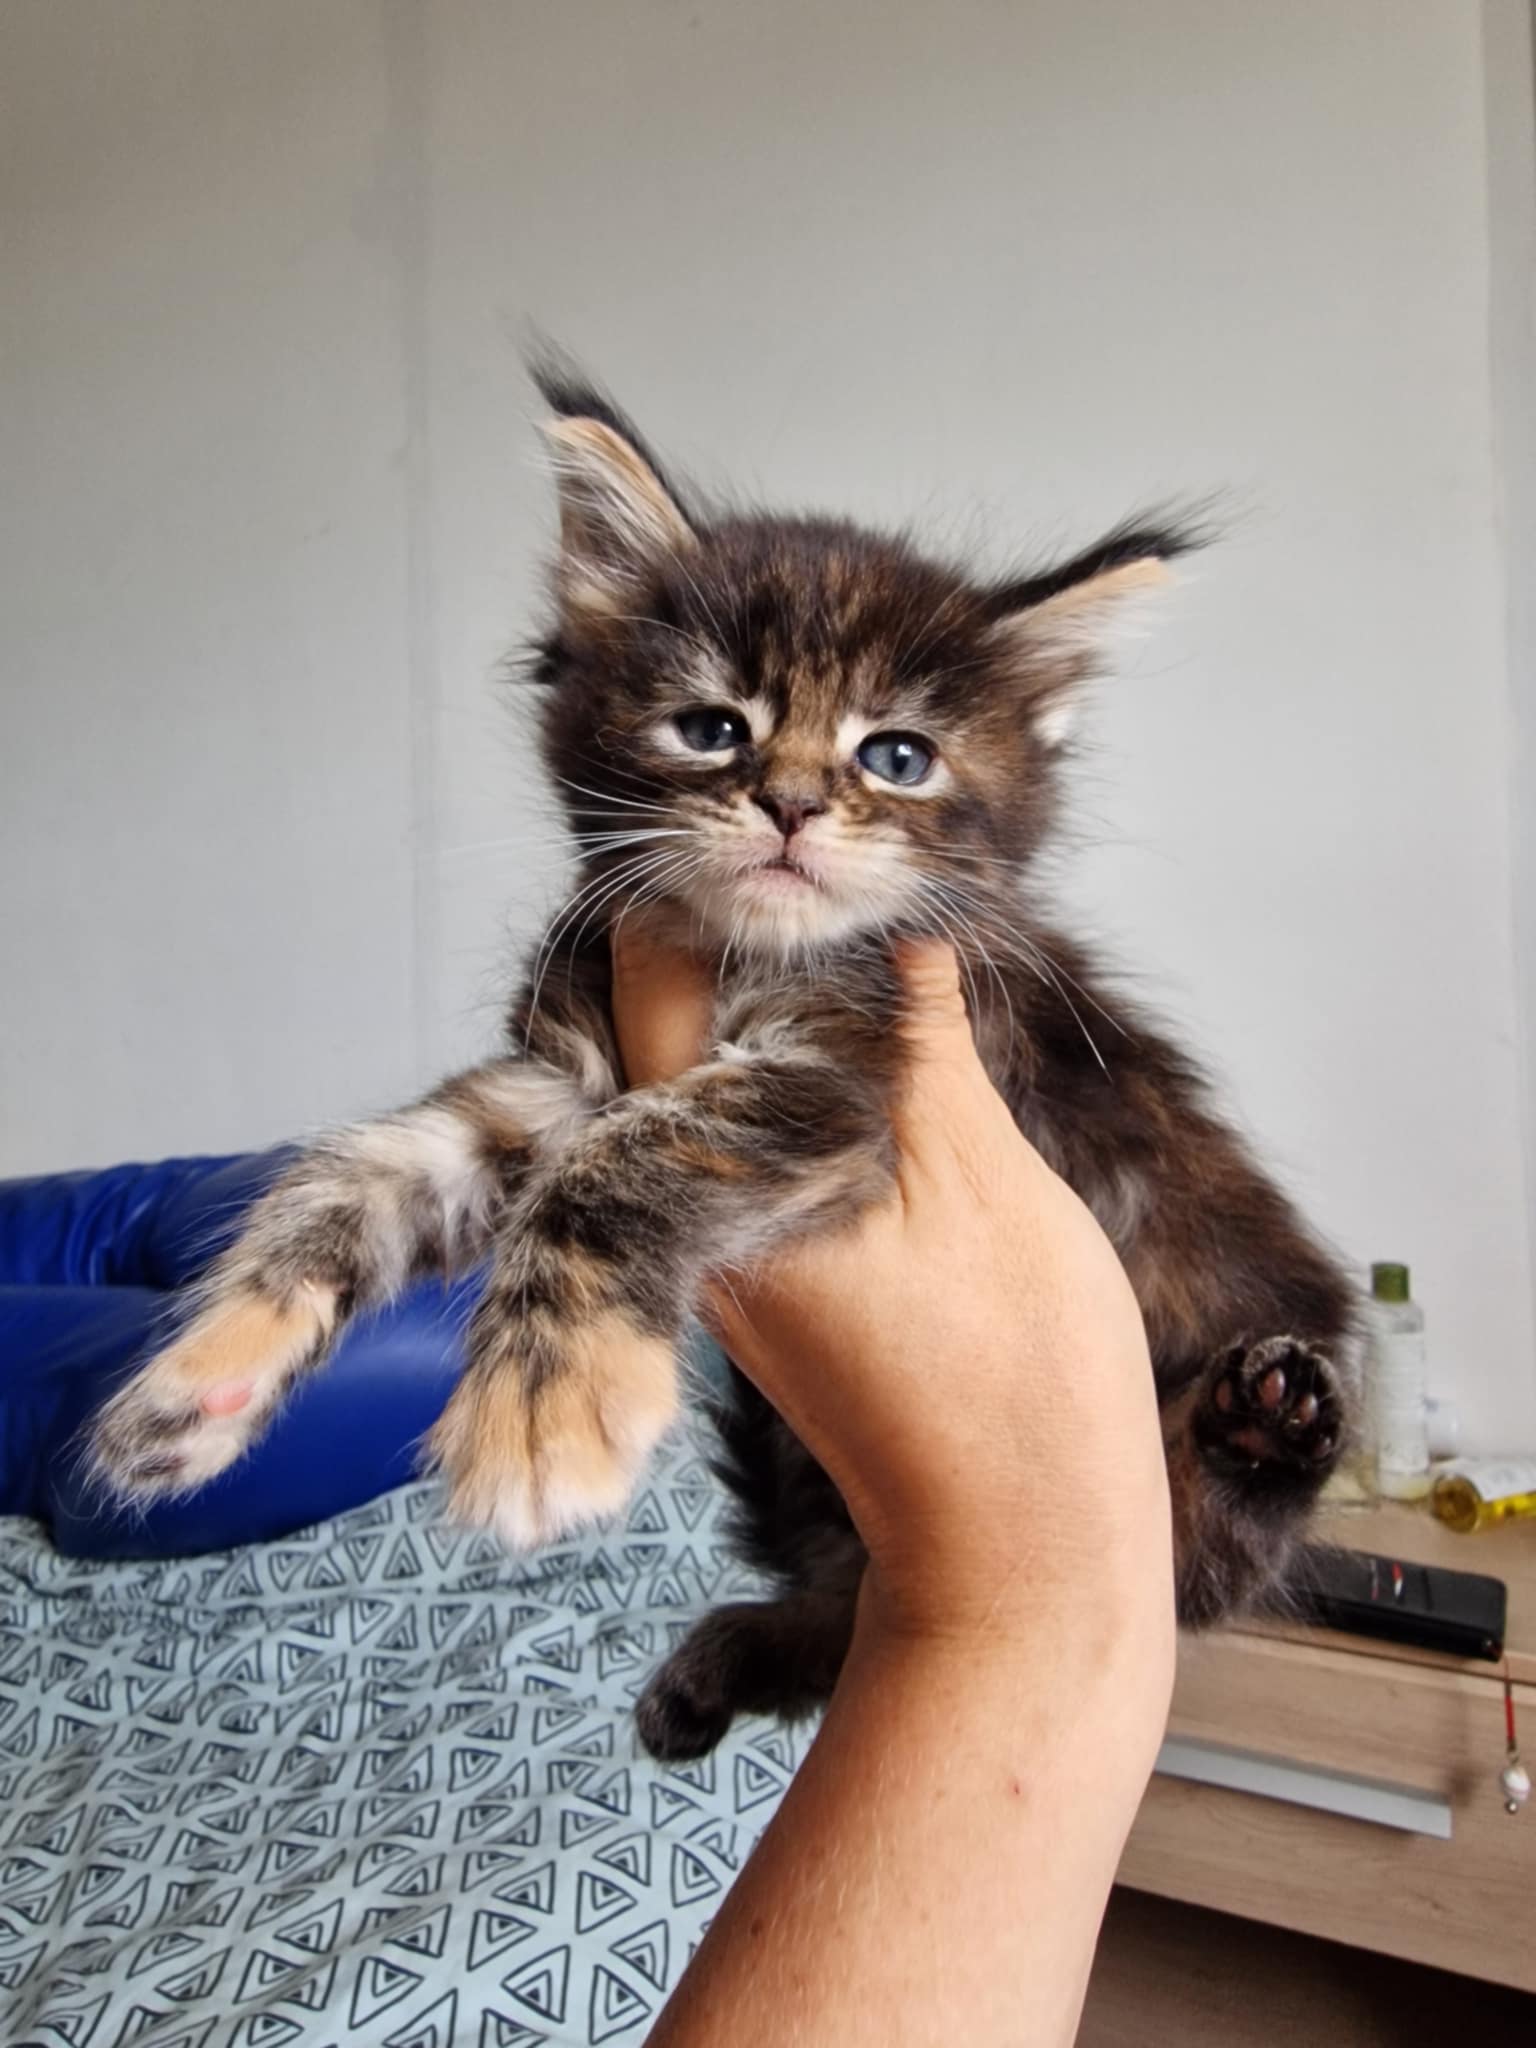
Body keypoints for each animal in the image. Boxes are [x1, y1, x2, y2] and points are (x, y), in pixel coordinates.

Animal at [89, 367, 1354, 1761]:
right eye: (709, 727)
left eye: (895, 756)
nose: (791, 803)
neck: (734, 945)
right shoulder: (553, 1076)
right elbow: (350, 1176)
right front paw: (198, 1381)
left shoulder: (852, 1074)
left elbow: (613, 1164)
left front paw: (543, 1405)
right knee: (843, 1624)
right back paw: (709, 1675)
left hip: (1183, 1450)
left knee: (1204, 1556)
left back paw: (1269, 1420)